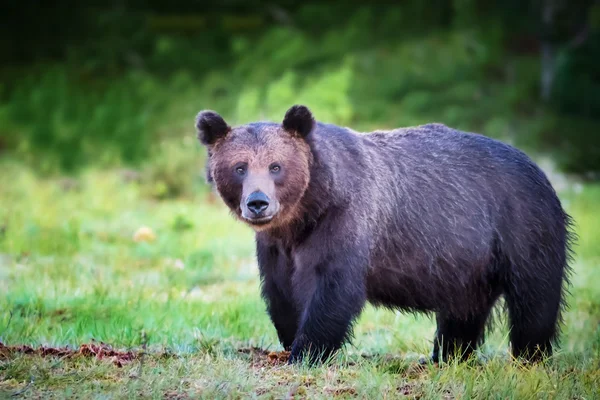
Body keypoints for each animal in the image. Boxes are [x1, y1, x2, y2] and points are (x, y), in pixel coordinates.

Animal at [195, 104, 576, 364]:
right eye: (239, 167)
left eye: (276, 166)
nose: (258, 203)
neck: (307, 211)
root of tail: (539, 169)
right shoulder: (276, 247)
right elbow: (281, 292)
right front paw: (291, 340)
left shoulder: (346, 220)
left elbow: (333, 287)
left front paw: (307, 352)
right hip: (468, 260)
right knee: (463, 310)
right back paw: (446, 355)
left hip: (522, 226)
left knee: (534, 298)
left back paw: (529, 355)